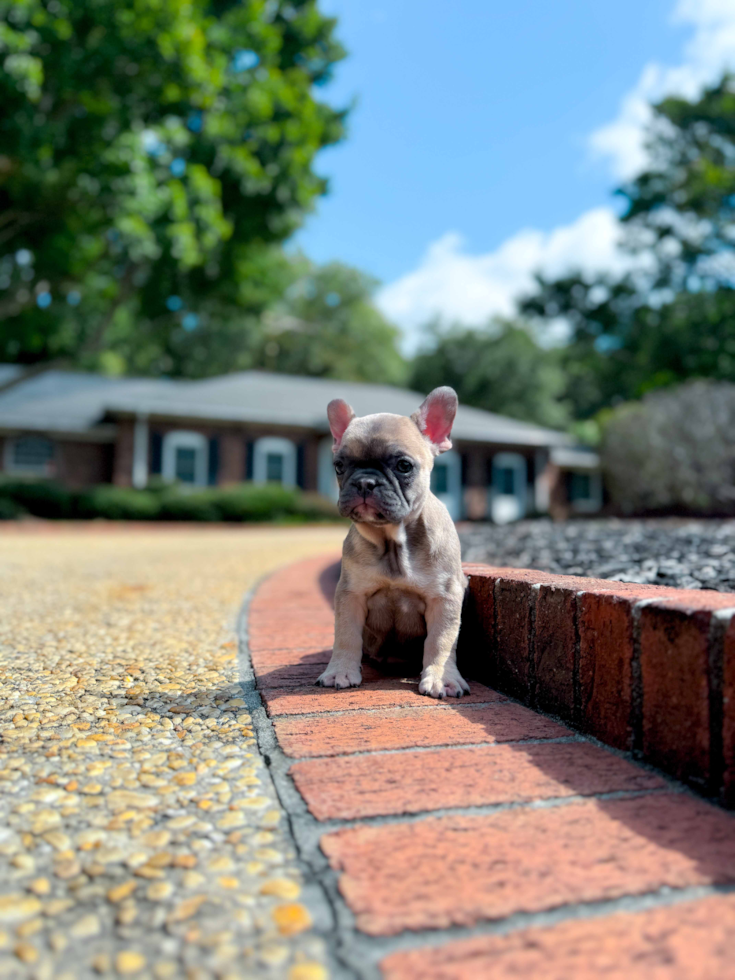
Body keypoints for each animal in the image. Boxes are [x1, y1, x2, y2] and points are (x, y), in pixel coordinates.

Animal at [318, 386, 472, 700]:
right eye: (339, 466)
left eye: (404, 466)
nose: (365, 481)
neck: (391, 541)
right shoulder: (350, 595)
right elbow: (346, 636)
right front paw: (340, 671)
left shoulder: (446, 597)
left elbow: (441, 640)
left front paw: (441, 678)